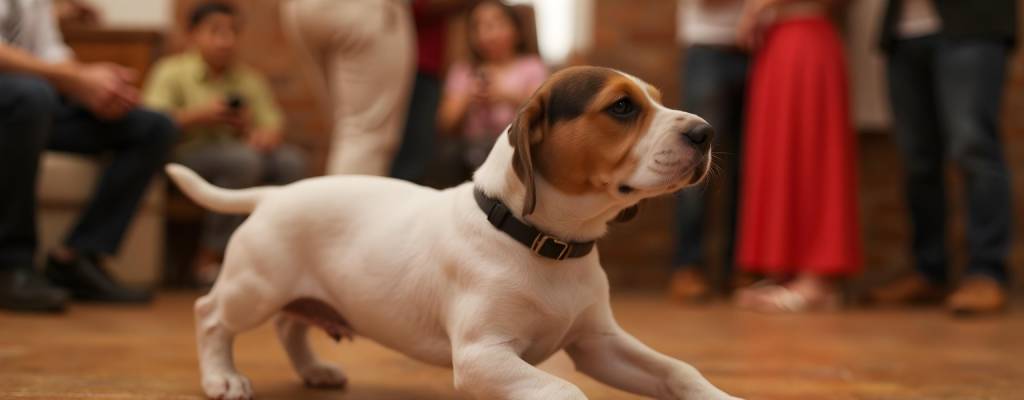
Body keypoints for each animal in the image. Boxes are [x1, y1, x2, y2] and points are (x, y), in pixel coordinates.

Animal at [165, 66, 737, 400]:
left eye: (655, 99)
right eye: (621, 107)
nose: (705, 133)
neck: (546, 243)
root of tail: (273, 194)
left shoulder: (599, 343)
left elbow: (681, 371)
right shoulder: (484, 355)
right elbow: (566, 391)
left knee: (291, 325)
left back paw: (314, 370)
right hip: (253, 289)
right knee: (210, 316)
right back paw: (220, 376)